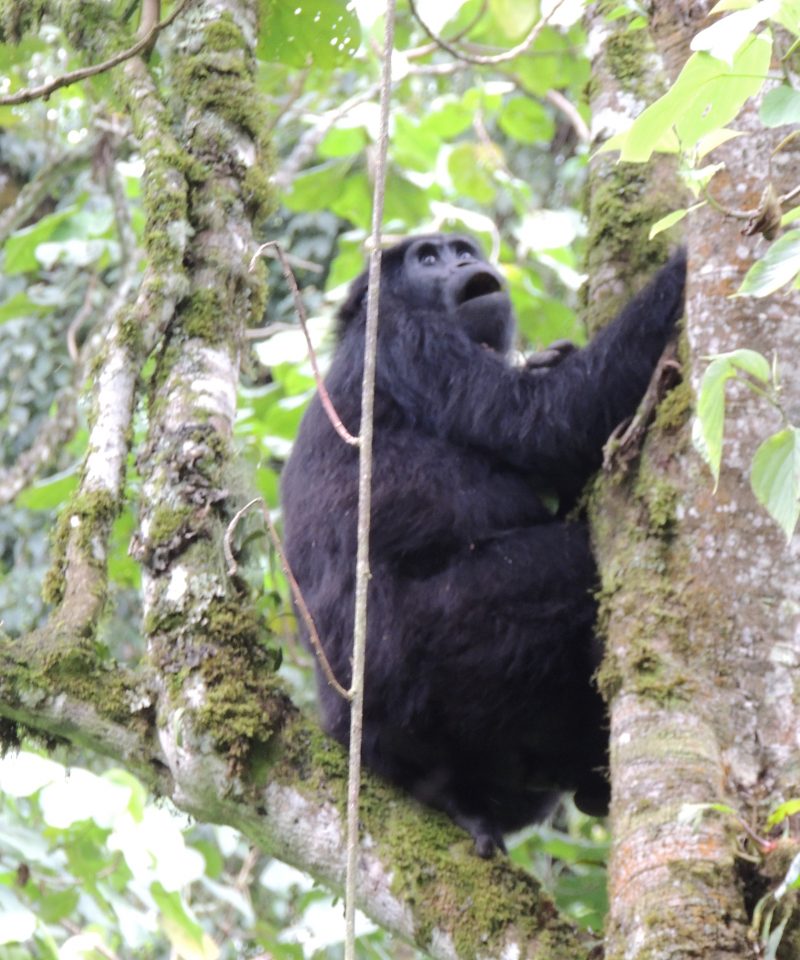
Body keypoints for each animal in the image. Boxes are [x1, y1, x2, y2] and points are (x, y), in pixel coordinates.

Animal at [282, 232, 688, 856]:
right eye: (427, 258)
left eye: (460, 248)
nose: (465, 261)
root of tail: (346, 731)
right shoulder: (408, 340)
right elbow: (544, 418)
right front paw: (685, 267)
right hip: (420, 665)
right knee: (574, 574)